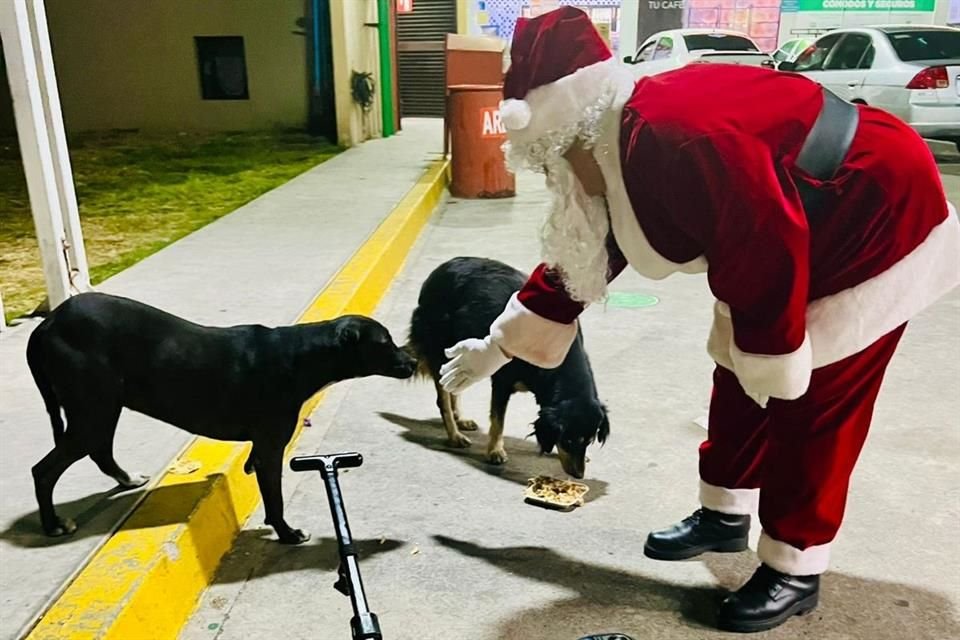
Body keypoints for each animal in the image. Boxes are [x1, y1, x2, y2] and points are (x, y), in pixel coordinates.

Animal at [26, 292, 414, 544]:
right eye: (384, 343)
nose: (412, 362)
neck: (301, 355)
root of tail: (48, 324)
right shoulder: (270, 447)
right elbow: (275, 499)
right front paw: (287, 533)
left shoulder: (261, 447)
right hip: (93, 411)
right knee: (43, 470)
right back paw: (52, 524)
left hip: (101, 411)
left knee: (100, 452)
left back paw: (126, 479)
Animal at [404, 258, 608, 478]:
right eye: (568, 440)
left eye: (589, 440)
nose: (578, 475)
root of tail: (438, 271)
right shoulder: (502, 382)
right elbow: (497, 421)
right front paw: (495, 451)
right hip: (440, 349)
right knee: (443, 401)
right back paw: (454, 435)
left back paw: (461, 419)